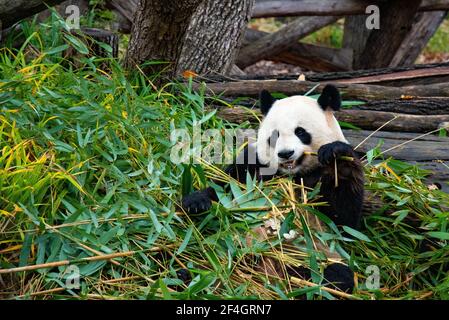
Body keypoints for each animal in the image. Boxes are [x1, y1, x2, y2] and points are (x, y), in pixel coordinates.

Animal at [180, 84, 362, 292]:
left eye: (300, 132)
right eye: (274, 136)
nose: (285, 153)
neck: (292, 174)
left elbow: (344, 222)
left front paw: (335, 152)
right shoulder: (252, 165)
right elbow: (224, 187)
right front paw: (196, 202)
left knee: (336, 275)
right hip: (222, 248)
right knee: (199, 255)